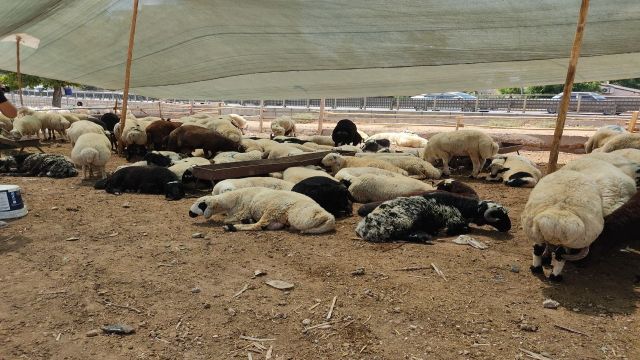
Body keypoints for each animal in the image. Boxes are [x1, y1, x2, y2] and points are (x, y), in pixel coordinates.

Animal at [188, 187, 336, 235]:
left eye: (201, 204)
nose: (189, 213)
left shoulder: (242, 211)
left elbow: (227, 219)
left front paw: (231, 223)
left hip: (276, 210)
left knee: (258, 226)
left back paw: (232, 227)